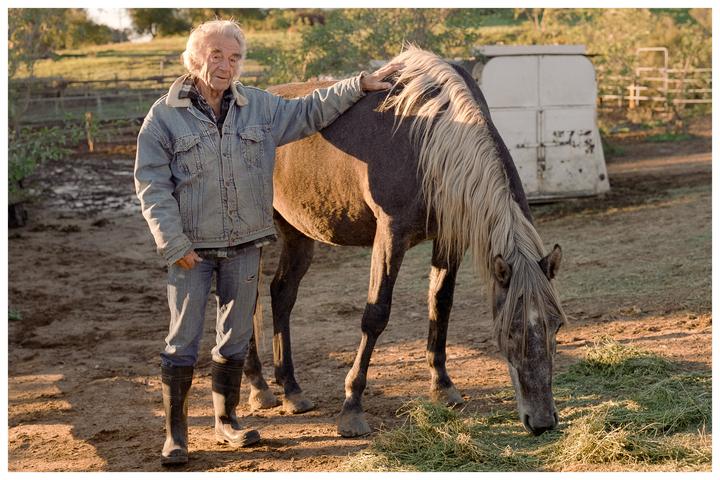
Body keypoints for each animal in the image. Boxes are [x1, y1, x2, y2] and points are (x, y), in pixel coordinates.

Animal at [241, 47, 567, 437]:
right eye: (513, 328)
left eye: (557, 324)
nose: (543, 421)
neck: (429, 139)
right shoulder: (390, 235)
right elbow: (376, 314)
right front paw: (352, 408)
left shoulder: (450, 238)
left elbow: (440, 303)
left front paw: (442, 386)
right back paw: (259, 388)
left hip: (298, 234)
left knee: (281, 294)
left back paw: (290, 389)